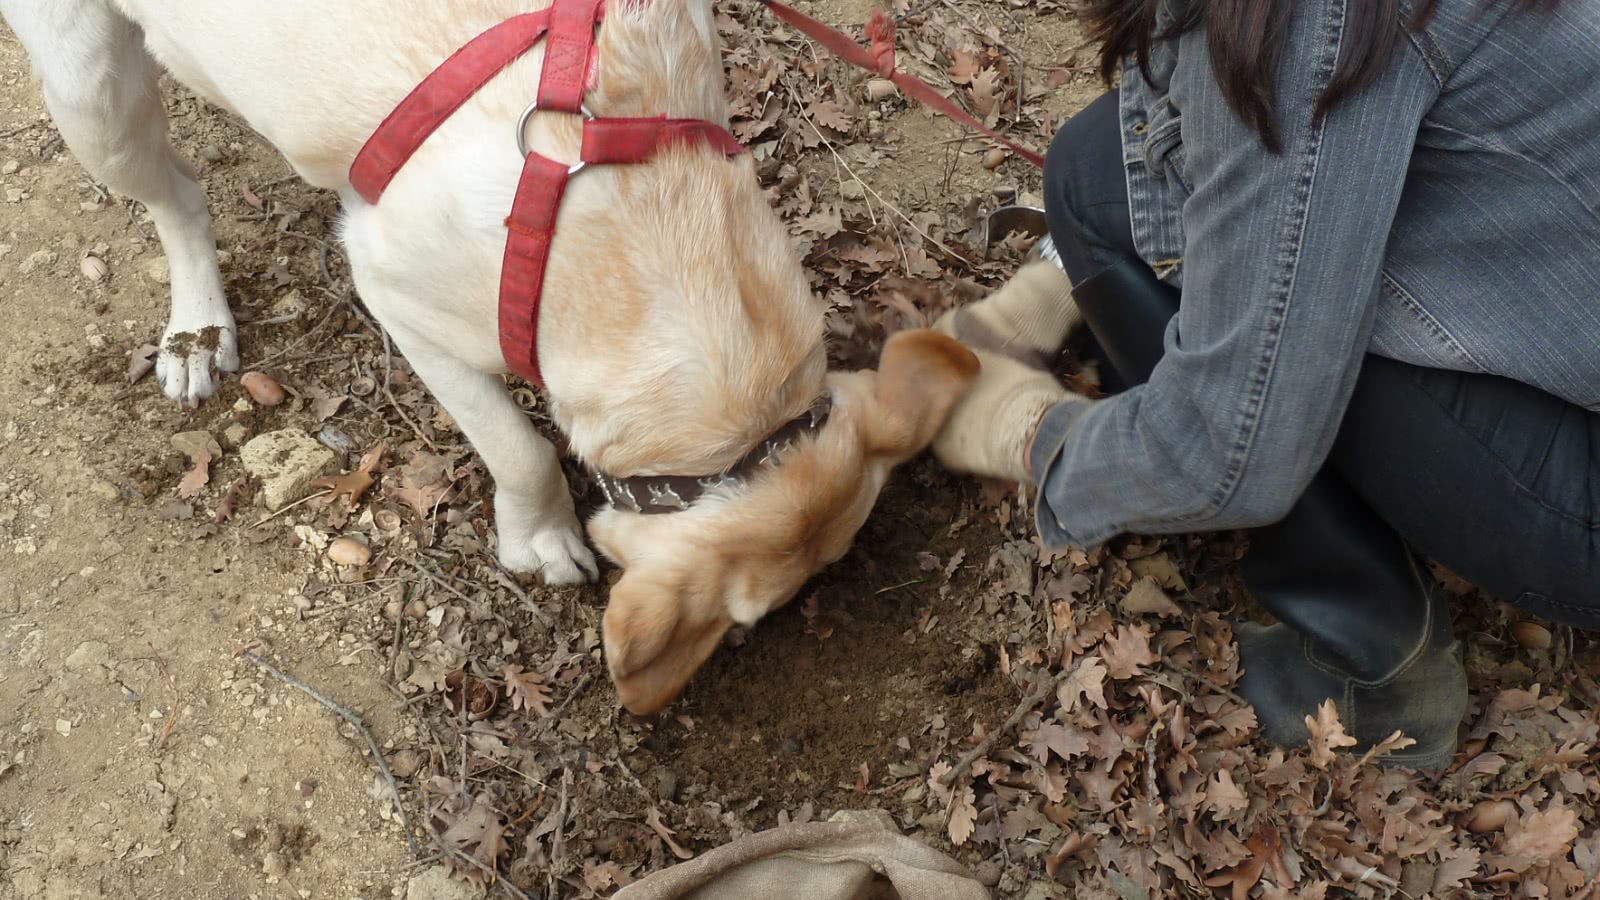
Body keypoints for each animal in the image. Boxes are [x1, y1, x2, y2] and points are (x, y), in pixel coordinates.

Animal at [0, 0, 979, 711]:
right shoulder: (399, 293)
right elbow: (521, 446)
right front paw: (540, 537)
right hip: (89, 89)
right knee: (177, 197)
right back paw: (195, 330)